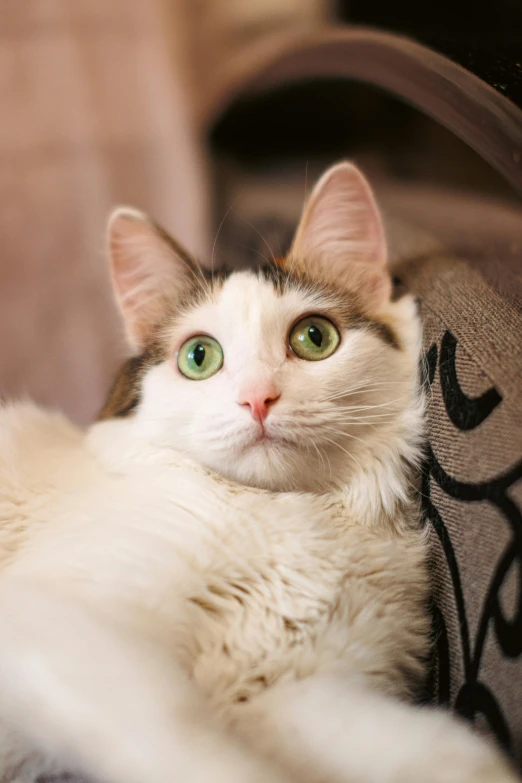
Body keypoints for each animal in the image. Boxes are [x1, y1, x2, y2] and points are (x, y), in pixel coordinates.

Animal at [0, 161, 516, 783]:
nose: (258, 398)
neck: (291, 515)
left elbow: (440, 750)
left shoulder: (284, 692)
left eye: (314, 338)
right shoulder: (63, 629)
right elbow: (198, 753)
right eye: (199, 357)